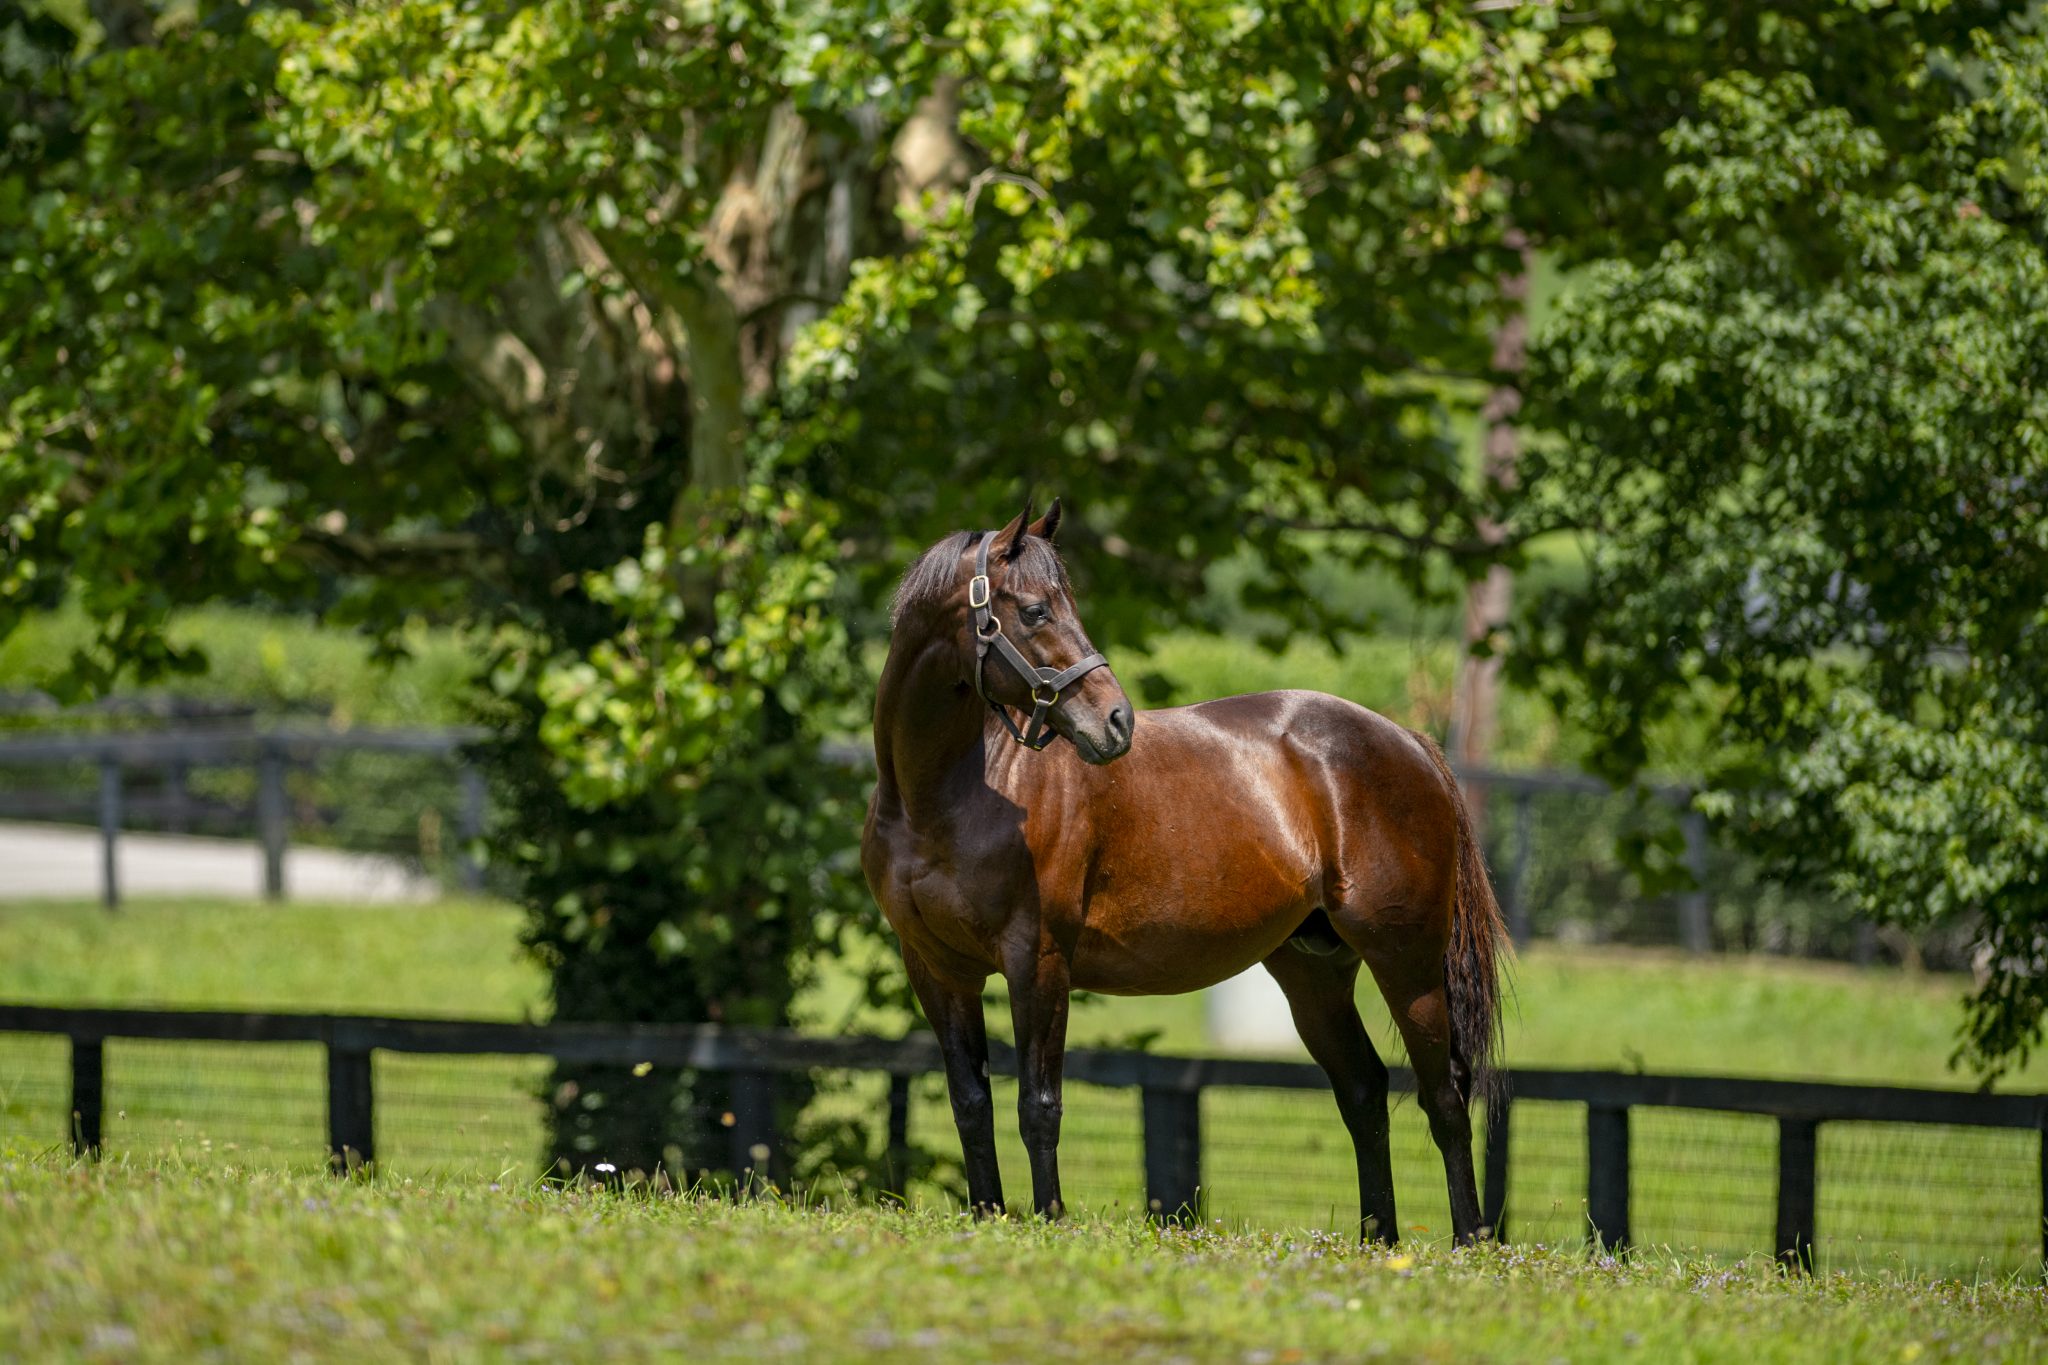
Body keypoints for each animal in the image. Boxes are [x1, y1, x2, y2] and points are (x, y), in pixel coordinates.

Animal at [856, 505, 1515, 1252]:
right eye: (1033, 610)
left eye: (1065, 604)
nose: (1116, 721)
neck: (948, 794)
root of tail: (1409, 741)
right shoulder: (937, 969)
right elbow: (970, 1101)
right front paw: (986, 1215)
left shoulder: (1038, 961)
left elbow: (1039, 1104)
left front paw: (1049, 1219)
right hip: (1313, 972)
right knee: (1364, 1093)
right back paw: (1380, 1241)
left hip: (1406, 962)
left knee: (1446, 1094)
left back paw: (1469, 1242)